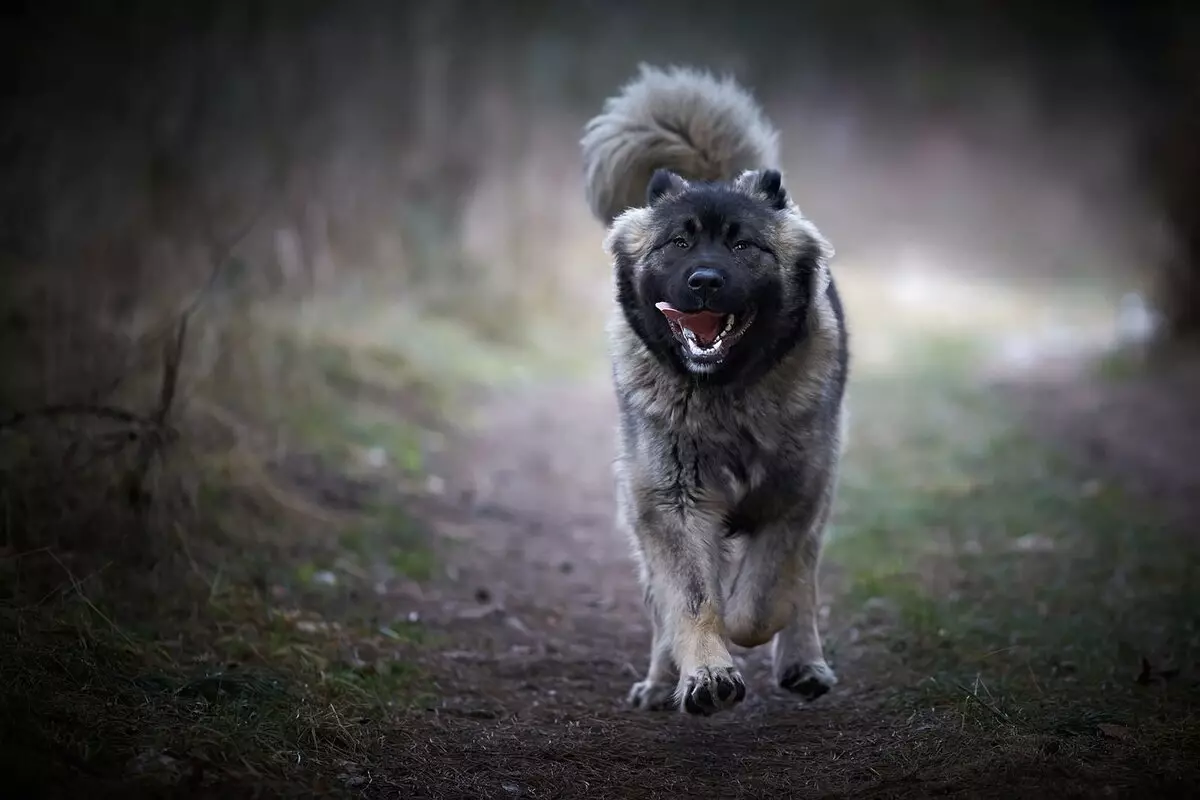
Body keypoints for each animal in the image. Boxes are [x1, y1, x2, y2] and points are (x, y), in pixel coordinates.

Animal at [578, 65, 844, 714]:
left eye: (743, 244)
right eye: (679, 242)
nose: (704, 280)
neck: (726, 395)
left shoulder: (793, 497)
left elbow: (764, 594)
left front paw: (749, 631)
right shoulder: (671, 500)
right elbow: (694, 599)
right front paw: (706, 673)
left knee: (804, 580)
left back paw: (804, 662)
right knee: (661, 602)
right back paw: (660, 680)